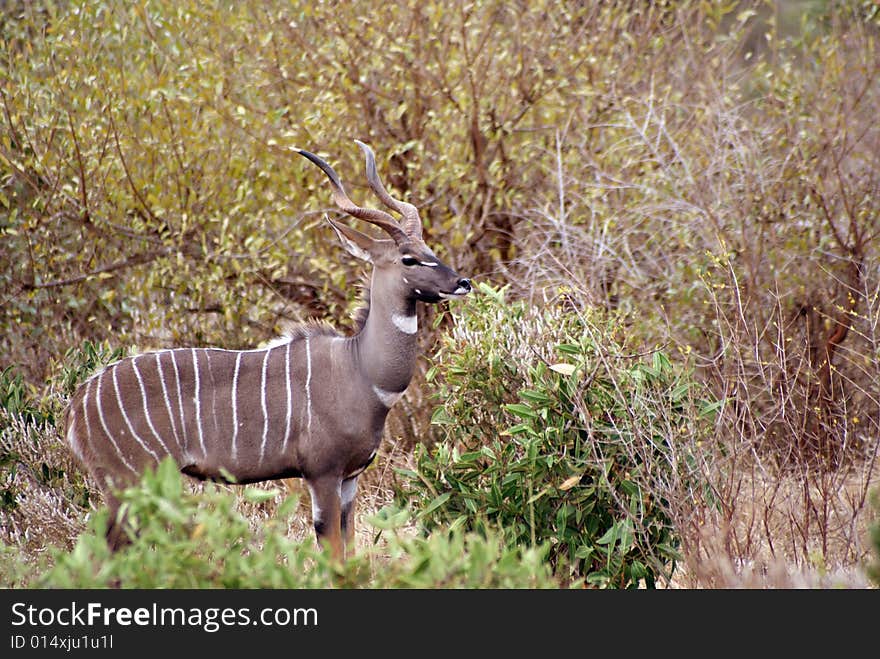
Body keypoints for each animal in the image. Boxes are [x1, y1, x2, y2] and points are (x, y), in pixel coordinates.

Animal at [64, 142, 470, 560]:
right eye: (408, 258)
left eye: (428, 248)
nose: (463, 282)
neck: (361, 371)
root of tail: (77, 406)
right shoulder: (322, 473)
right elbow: (331, 551)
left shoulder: (351, 479)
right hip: (130, 482)